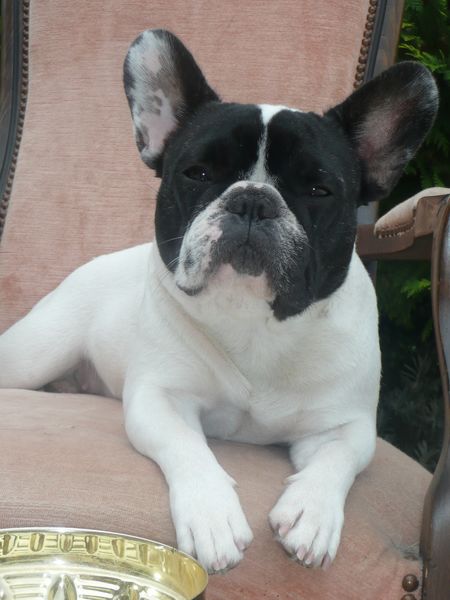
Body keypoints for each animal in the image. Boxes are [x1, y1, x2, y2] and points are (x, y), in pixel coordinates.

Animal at [0, 30, 438, 573]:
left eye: (319, 189)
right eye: (199, 174)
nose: (252, 199)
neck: (254, 323)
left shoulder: (347, 426)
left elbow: (336, 462)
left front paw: (312, 513)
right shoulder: (160, 398)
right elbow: (188, 446)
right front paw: (212, 516)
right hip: (33, 353)